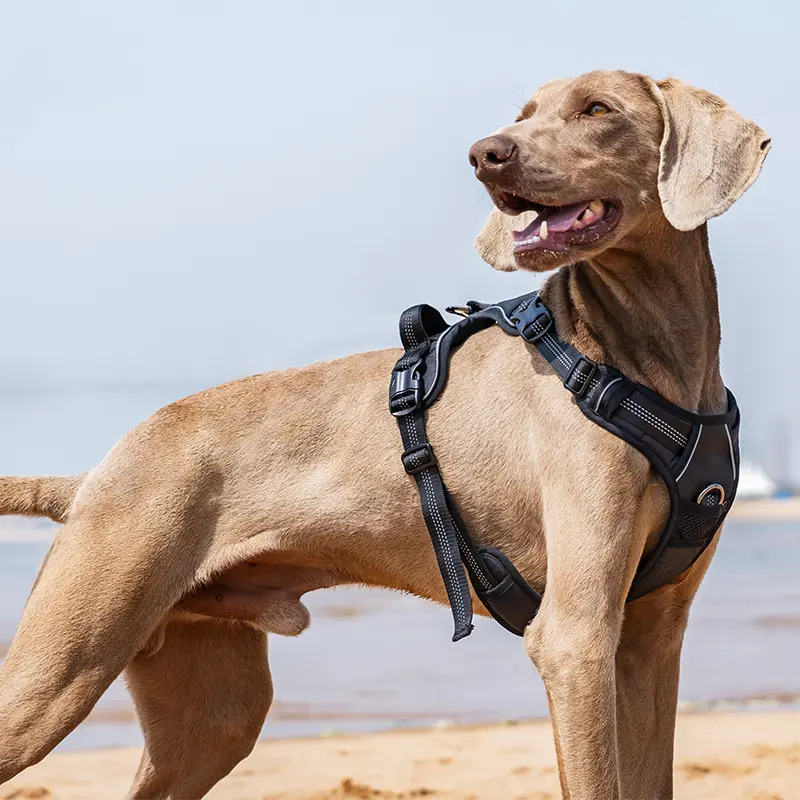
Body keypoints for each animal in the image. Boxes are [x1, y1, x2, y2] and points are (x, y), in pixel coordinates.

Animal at [0, 72, 772, 796]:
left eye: (598, 109)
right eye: (523, 115)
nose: (485, 154)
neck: (643, 359)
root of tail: (92, 476)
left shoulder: (651, 638)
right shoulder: (574, 639)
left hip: (215, 709)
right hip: (69, 657)